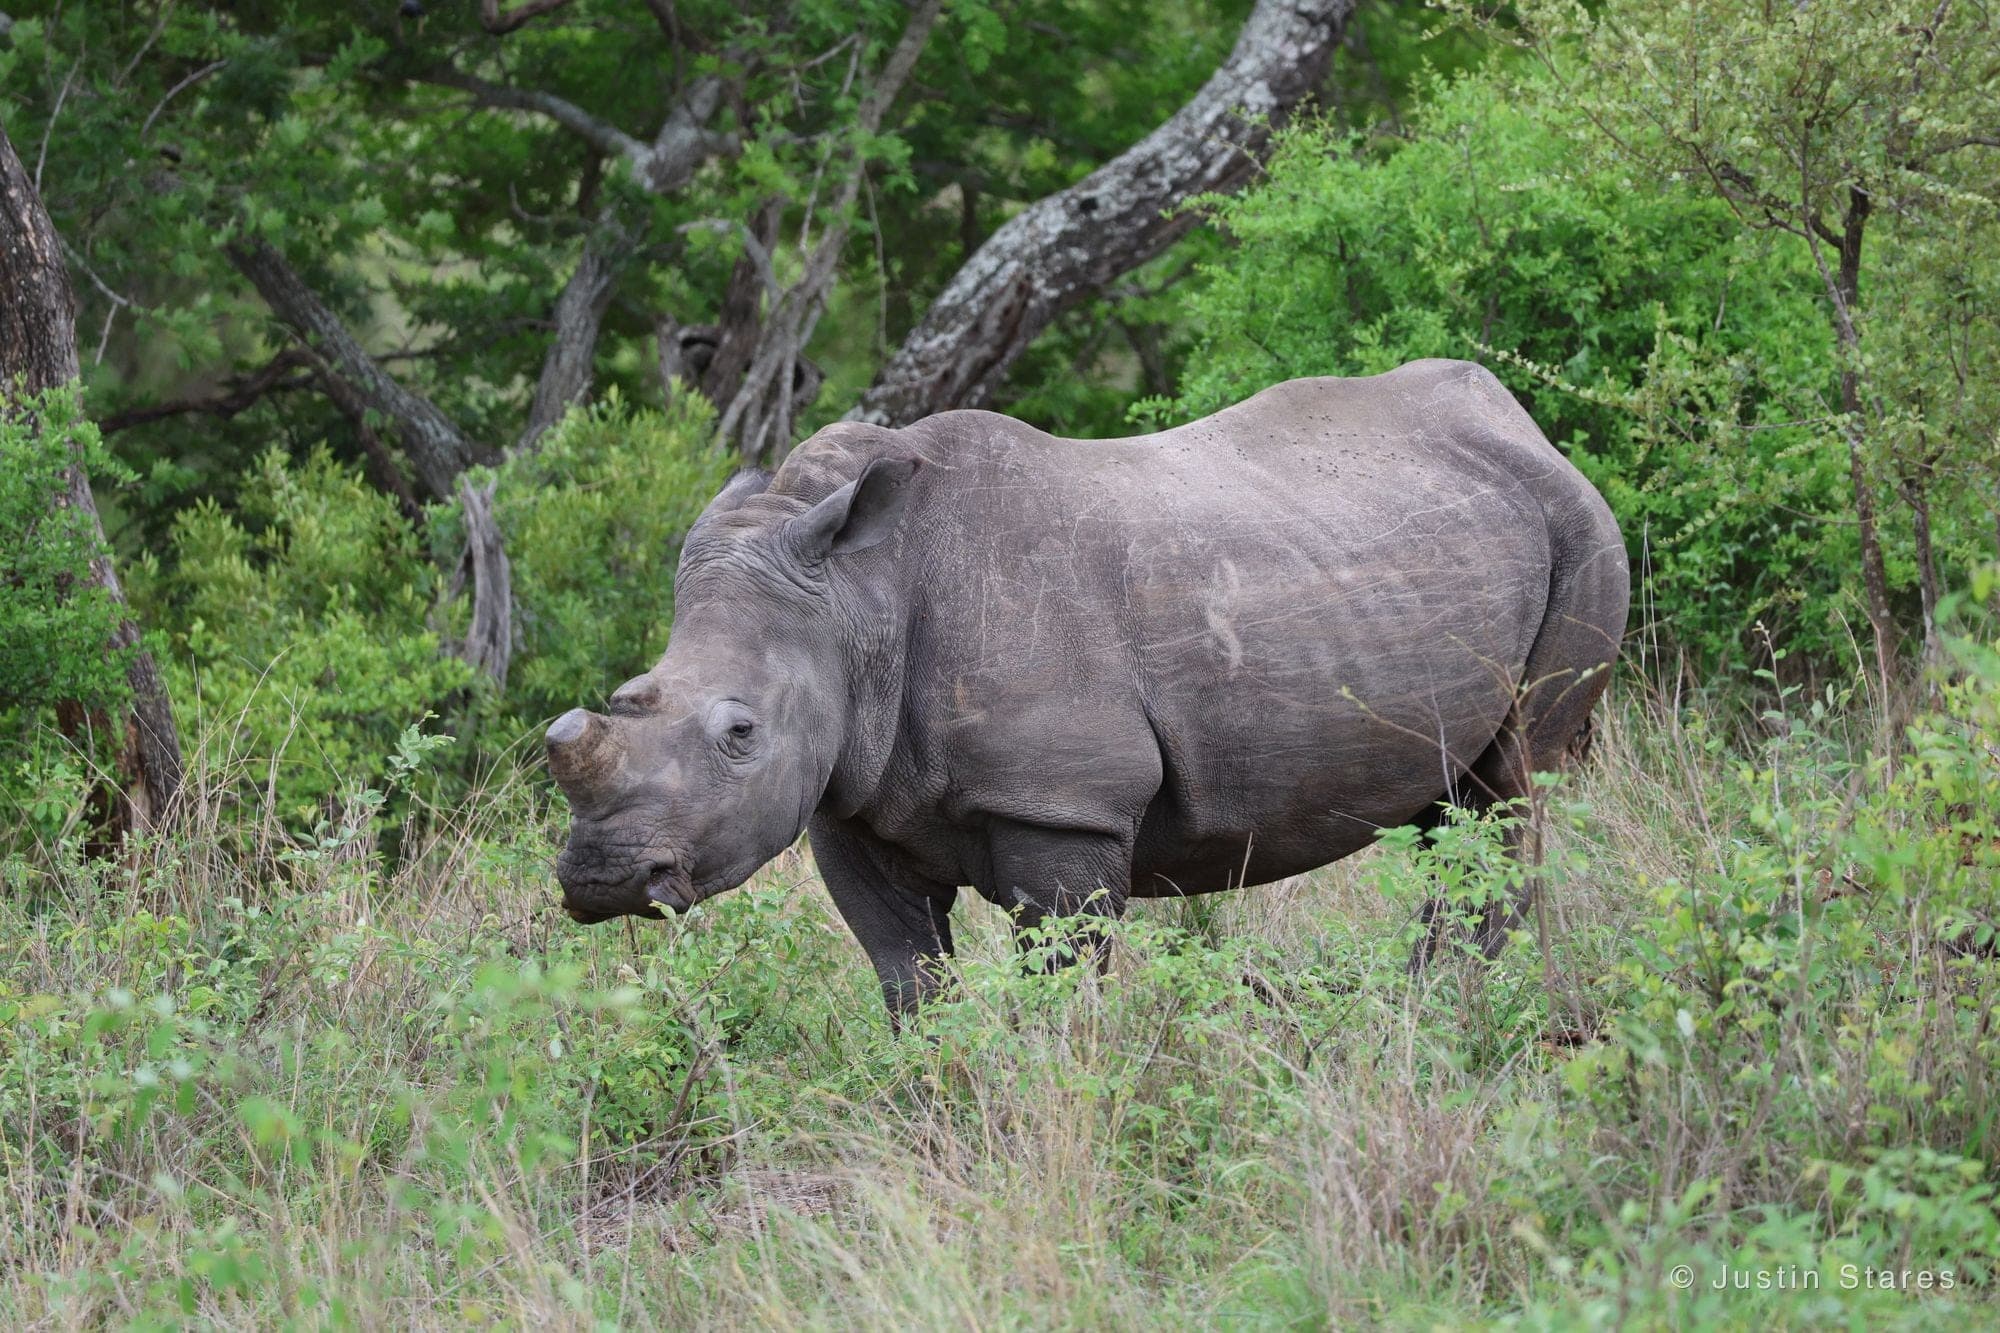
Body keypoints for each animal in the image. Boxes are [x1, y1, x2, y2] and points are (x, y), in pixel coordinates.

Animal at [547, 360, 1630, 1016]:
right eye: (630, 691)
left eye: (739, 732)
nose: (601, 877)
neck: (857, 596)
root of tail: (1520, 423)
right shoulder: (848, 797)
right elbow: (908, 979)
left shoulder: (1061, 804)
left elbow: (1056, 984)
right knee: (1453, 804)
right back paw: (1412, 1008)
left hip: (1583, 532)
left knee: (1506, 787)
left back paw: (1443, 1010)